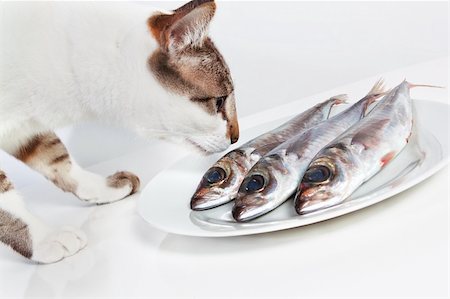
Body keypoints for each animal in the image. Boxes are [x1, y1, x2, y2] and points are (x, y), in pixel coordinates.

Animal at [0, 0, 239, 264]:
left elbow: (57, 159)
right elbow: (5, 200)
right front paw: (43, 240)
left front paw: (104, 188)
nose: (235, 138)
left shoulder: (24, 125)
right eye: (219, 102)